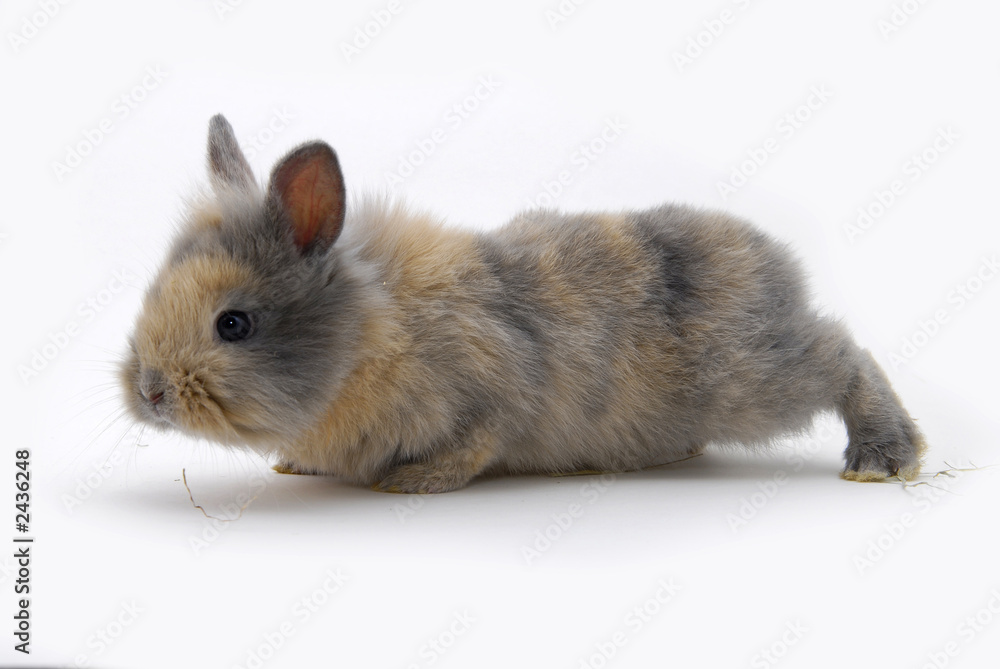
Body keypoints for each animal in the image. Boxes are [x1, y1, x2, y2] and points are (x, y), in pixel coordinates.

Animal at [120, 114, 926, 493]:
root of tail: (776, 265)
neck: (368, 335)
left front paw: (409, 483)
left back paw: (883, 459)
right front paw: (298, 466)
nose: (151, 392)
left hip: (750, 379)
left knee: (844, 355)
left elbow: (476, 444)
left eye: (234, 324)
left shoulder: (494, 393)